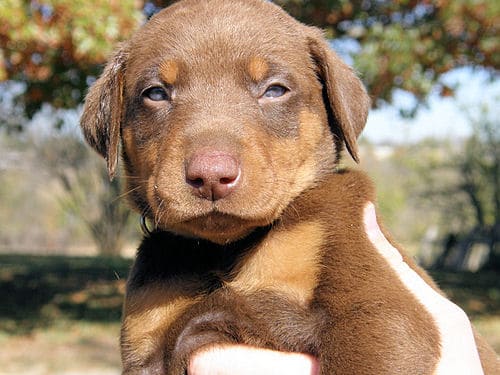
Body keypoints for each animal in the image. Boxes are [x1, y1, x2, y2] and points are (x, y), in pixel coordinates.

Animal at [80, 0, 498, 374]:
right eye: (155, 93)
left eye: (275, 90)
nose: (211, 176)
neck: (222, 251)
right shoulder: (146, 340)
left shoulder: (381, 316)